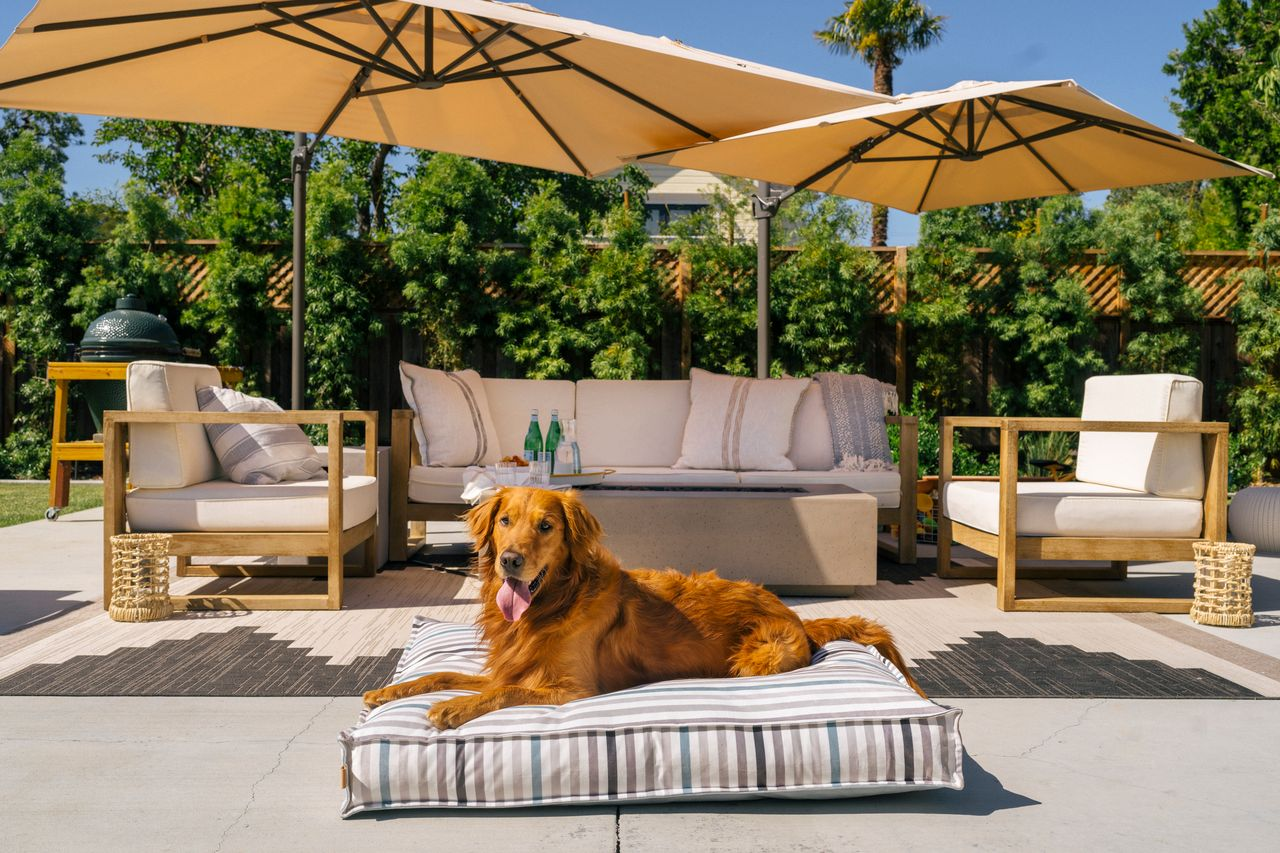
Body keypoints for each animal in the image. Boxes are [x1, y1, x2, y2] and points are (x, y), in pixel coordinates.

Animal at [366, 484, 926, 722]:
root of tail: (798, 618)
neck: (554, 603)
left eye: (545, 526)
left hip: (755, 660)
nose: (509, 561)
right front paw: (390, 691)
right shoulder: (512, 666)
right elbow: (442, 673)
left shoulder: (570, 689)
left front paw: (453, 708)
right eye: (505, 520)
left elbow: (502, 694)